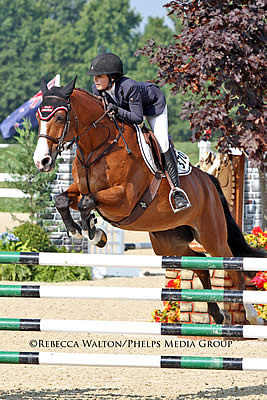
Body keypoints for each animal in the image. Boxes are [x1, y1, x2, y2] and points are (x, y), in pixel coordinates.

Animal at [33, 77, 266, 324]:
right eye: (39, 116)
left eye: (60, 117)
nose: (41, 161)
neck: (98, 147)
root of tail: (209, 182)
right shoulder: (80, 190)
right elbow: (62, 200)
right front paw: (83, 231)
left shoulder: (123, 199)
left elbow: (87, 203)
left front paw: (93, 231)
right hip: (169, 242)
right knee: (200, 264)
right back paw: (215, 313)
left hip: (211, 236)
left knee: (232, 265)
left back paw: (252, 316)